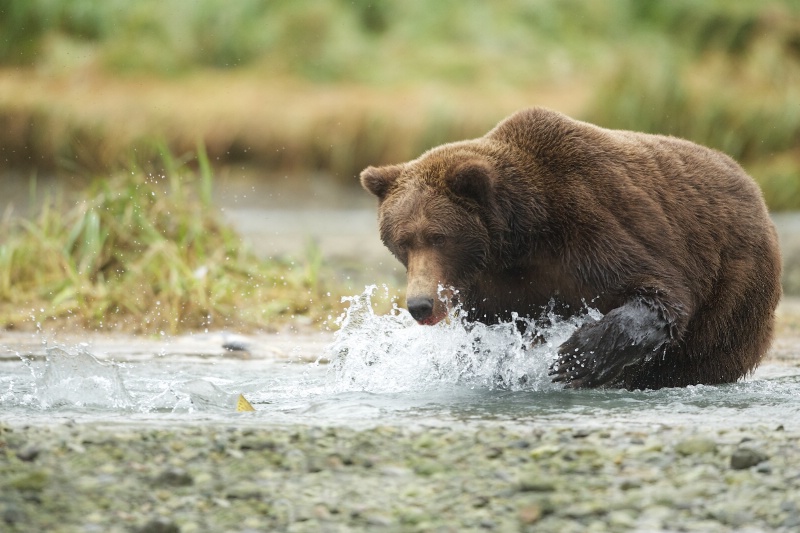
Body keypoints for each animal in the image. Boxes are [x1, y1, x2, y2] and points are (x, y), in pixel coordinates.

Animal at [360, 107, 780, 390]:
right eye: (402, 241)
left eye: (438, 236)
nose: (420, 305)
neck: (521, 237)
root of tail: (752, 185)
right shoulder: (492, 287)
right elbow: (490, 336)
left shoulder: (590, 227)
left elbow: (661, 296)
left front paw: (574, 358)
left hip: (734, 286)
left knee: (700, 352)